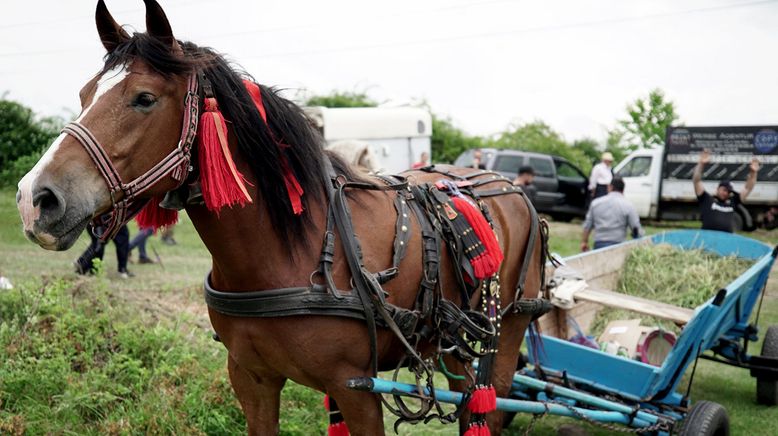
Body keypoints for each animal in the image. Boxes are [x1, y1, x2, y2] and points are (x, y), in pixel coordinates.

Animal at [15, 1, 544, 434]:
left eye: (144, 98)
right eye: (84, 94)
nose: (35, 198)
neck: (288, 251)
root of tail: (507, 185)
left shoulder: (357, 389)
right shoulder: (252, 378)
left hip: (505, 334)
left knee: (490, 407)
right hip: (455, 346)